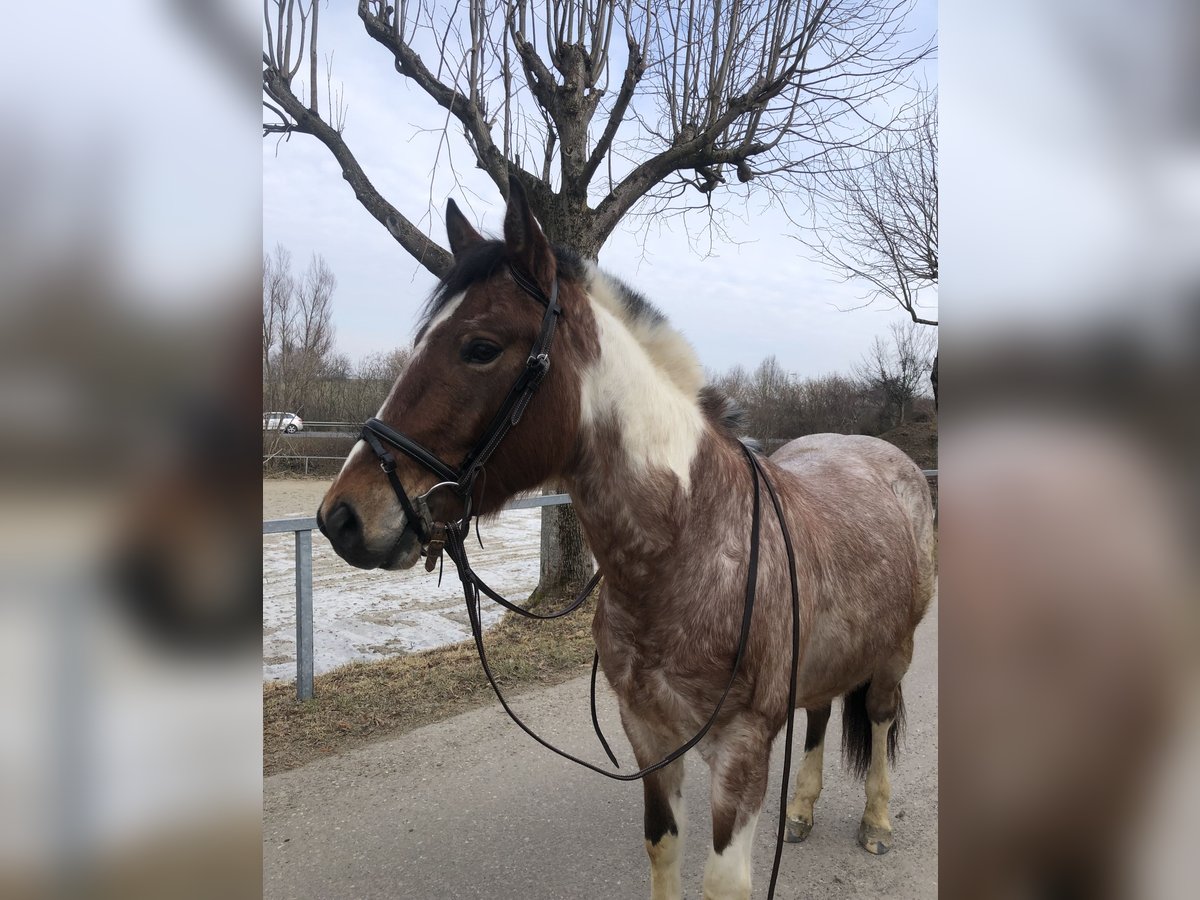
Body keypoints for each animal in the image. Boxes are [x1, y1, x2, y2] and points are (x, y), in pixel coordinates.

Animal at [319, 183, 936, 900]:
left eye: (480, 347)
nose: (342, 517)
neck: (687, 545)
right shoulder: (648, 736)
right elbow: (661, 848)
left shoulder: (742, 750)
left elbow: (722, 882)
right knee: (819, 714)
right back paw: (803, 811)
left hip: (894, 654)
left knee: (881, 716)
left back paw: (876, 822)